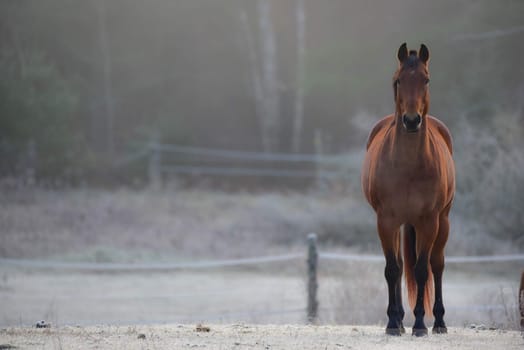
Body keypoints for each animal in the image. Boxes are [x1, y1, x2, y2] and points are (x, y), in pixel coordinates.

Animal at [360, 43, 454, 336]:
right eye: (399, 80)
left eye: (426, 79)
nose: (411, 121)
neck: (409, 166)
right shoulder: (386, 220)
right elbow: (393, 269)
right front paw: (393, 323)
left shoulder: (429, 221)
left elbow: (422, 269)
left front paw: (421, 325)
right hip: (401, 224)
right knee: (402, 267)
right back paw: (401, 319)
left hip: (442, 221)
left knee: (437, 265)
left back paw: (439, 322)